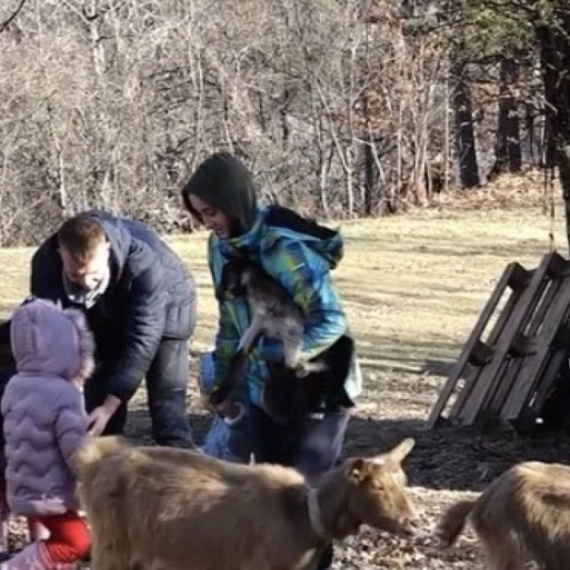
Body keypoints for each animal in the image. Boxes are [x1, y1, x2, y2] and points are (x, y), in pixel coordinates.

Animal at [73, 432, 414, 564]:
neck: (301, 514)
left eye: (403, 481)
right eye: (377, 487)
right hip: (112, 546)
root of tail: (94, 464)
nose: (412, 523)